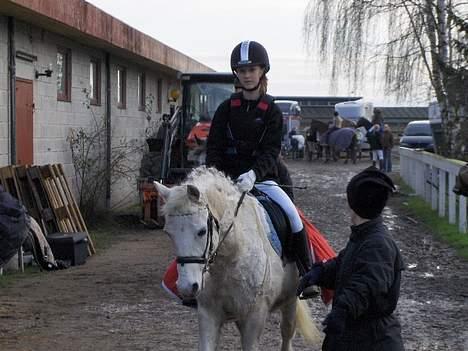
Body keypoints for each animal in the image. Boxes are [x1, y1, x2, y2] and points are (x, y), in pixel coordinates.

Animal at [154, 168, 322, 351]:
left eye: (202, 231)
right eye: (168, 233)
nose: (186, 287)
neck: (230, 258)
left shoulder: (254, 316)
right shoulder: (208, 313)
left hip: (291, 299)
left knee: (287, 332)